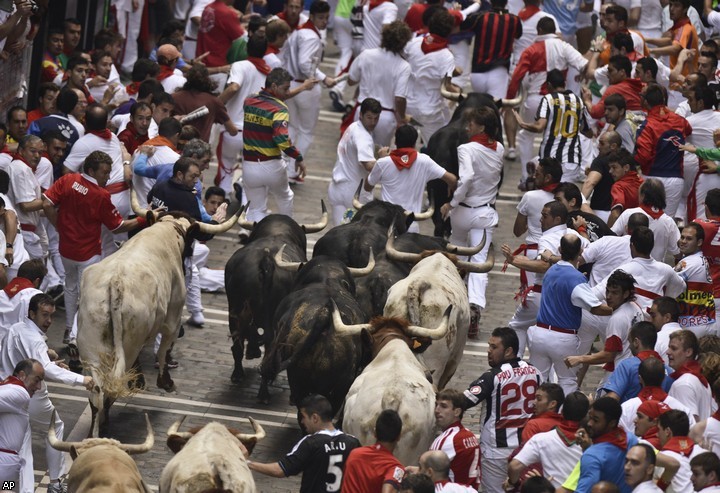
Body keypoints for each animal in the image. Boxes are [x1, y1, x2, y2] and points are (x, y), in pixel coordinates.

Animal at [80, 191, 240, 434]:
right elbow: (165, 349)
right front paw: (165, 382)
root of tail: (115, 283)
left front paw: (140, 380)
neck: (167, 229)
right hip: (128, 341)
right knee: (111, 384)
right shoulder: (173, 317)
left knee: (97, 391)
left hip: (91, 345)